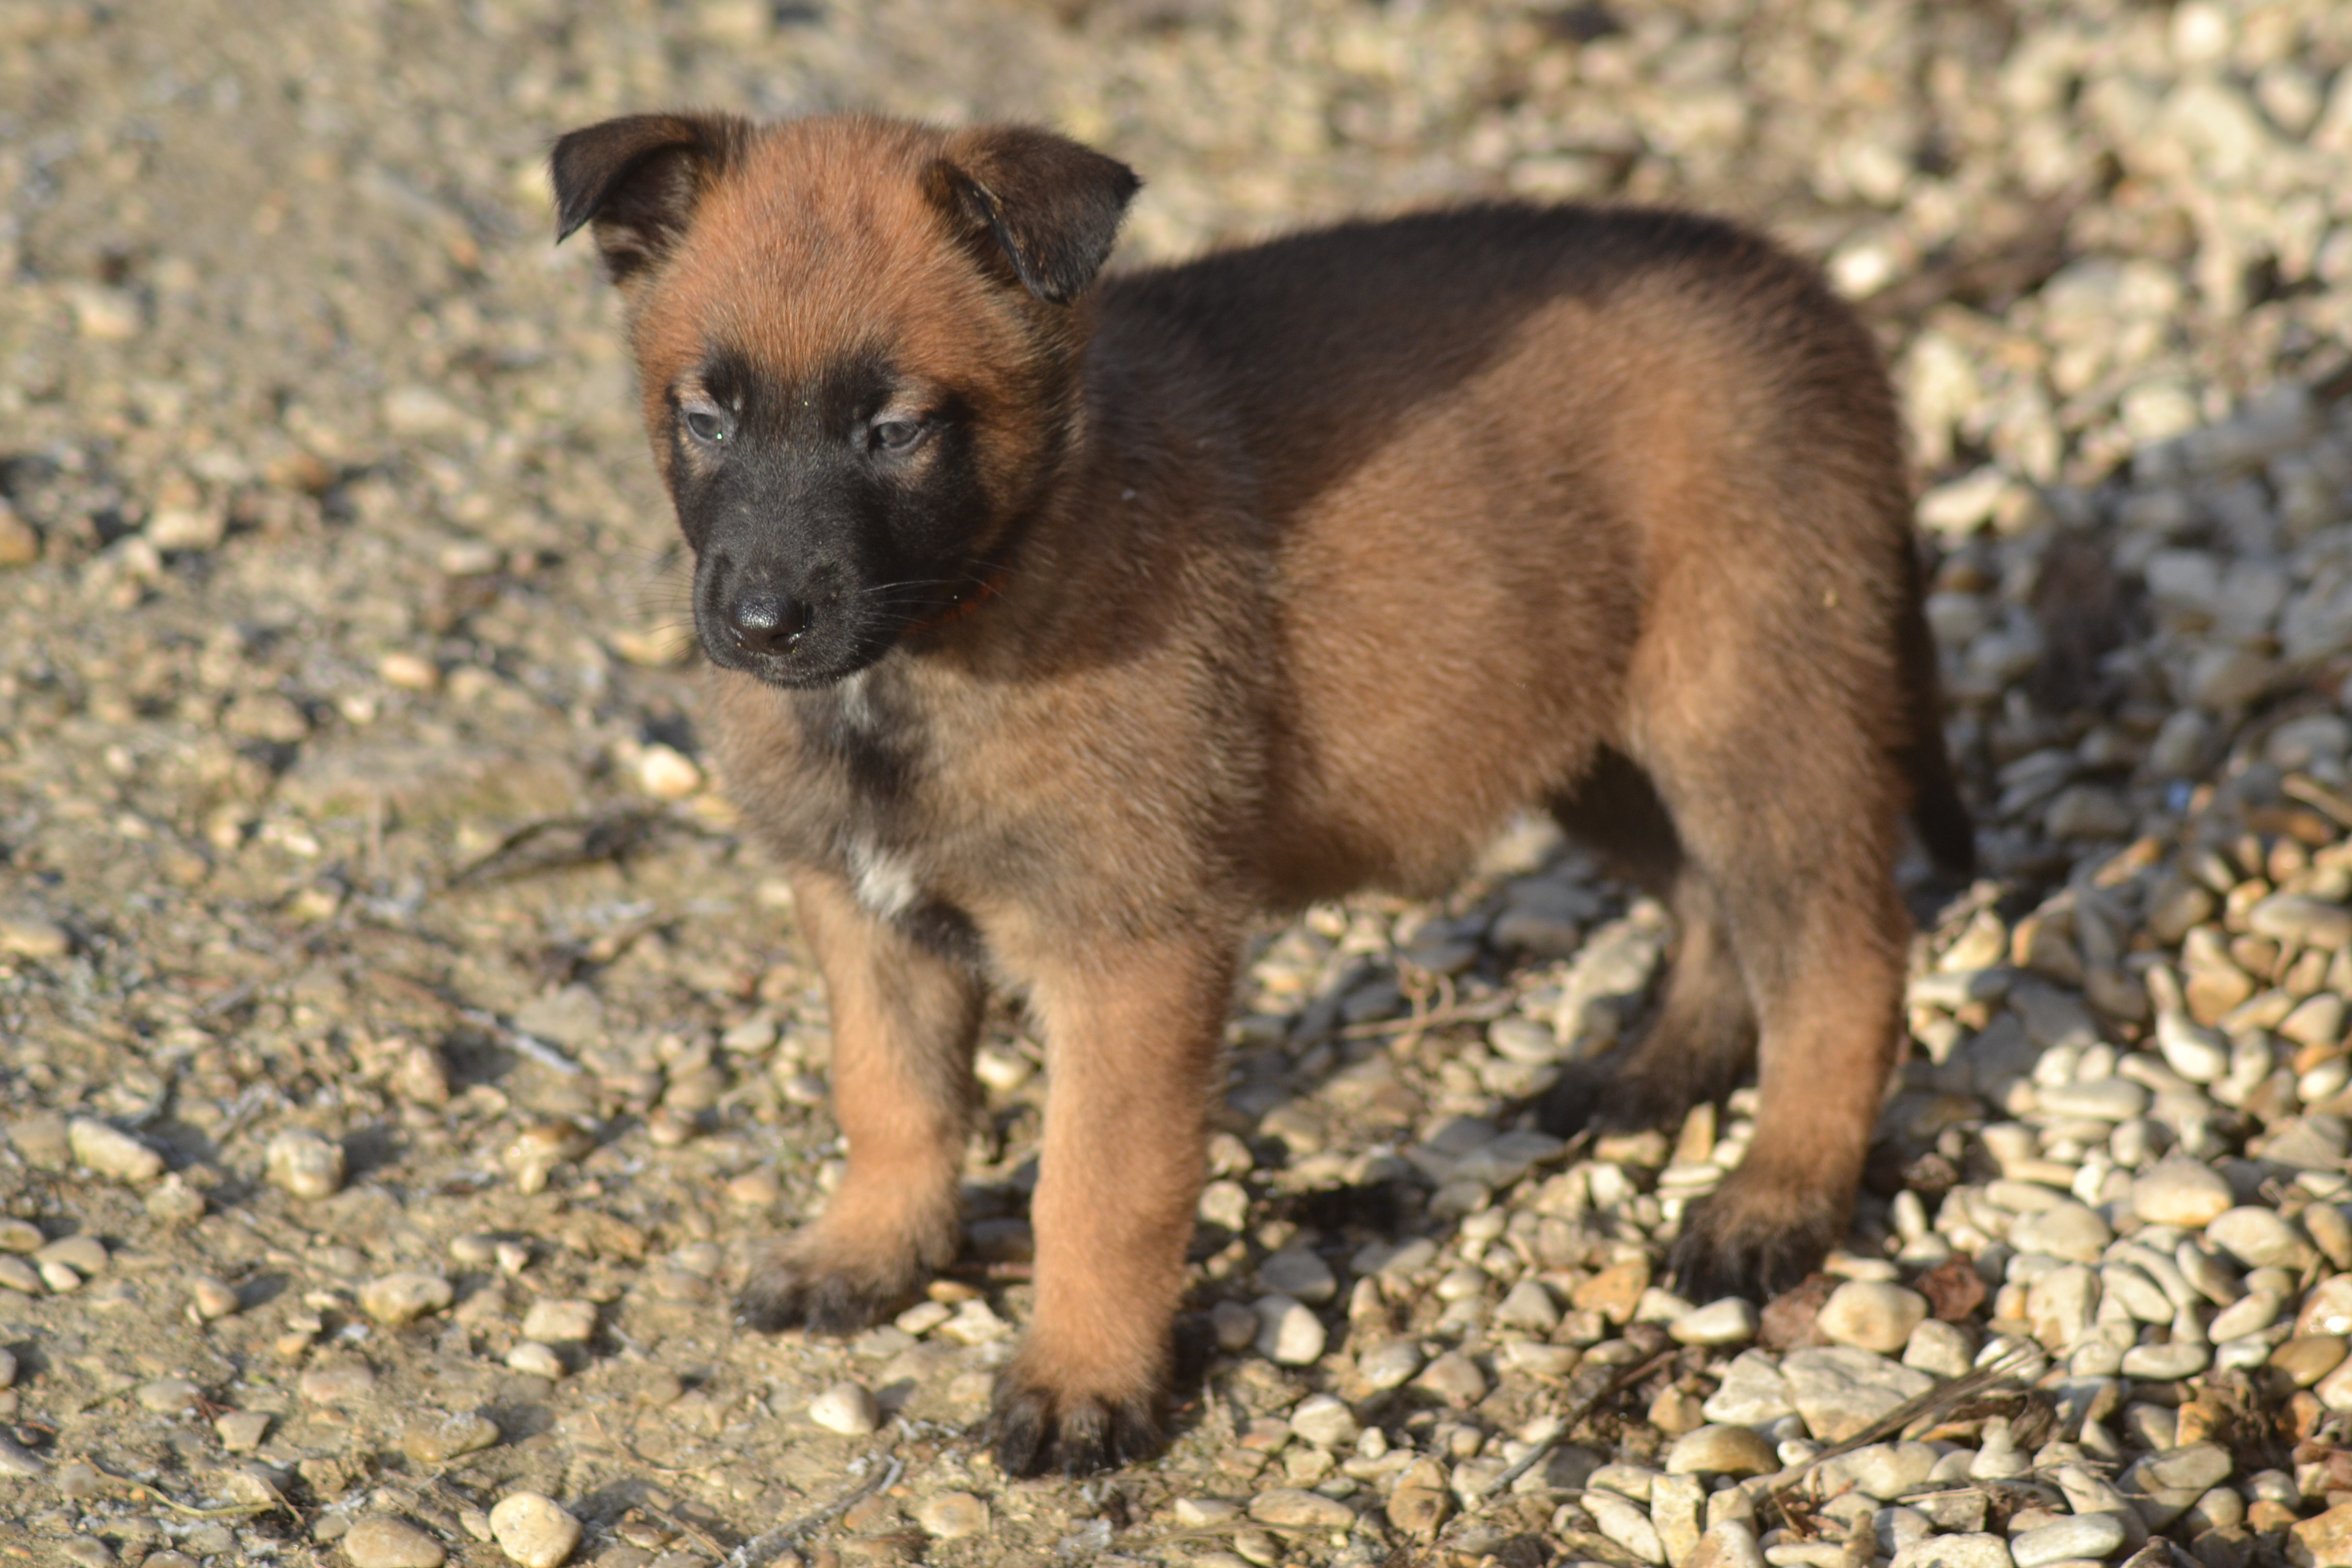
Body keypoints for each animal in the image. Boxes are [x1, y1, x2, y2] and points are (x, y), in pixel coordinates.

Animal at [546, 116, 1966, 1476]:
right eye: (706, 417)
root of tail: (1806, 293)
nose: (762, 623)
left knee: (1838, 960)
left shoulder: (1132, 954)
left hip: (1749, 716)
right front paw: (869, 1248)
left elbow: (1099, 1188)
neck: (961, 615)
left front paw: (1081, 1378)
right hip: (1589, 739)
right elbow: (889, 1096)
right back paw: (1656, 1069)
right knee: (1710, 905)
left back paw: (1774, 1197)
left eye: (894, 430)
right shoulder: (861, 911)